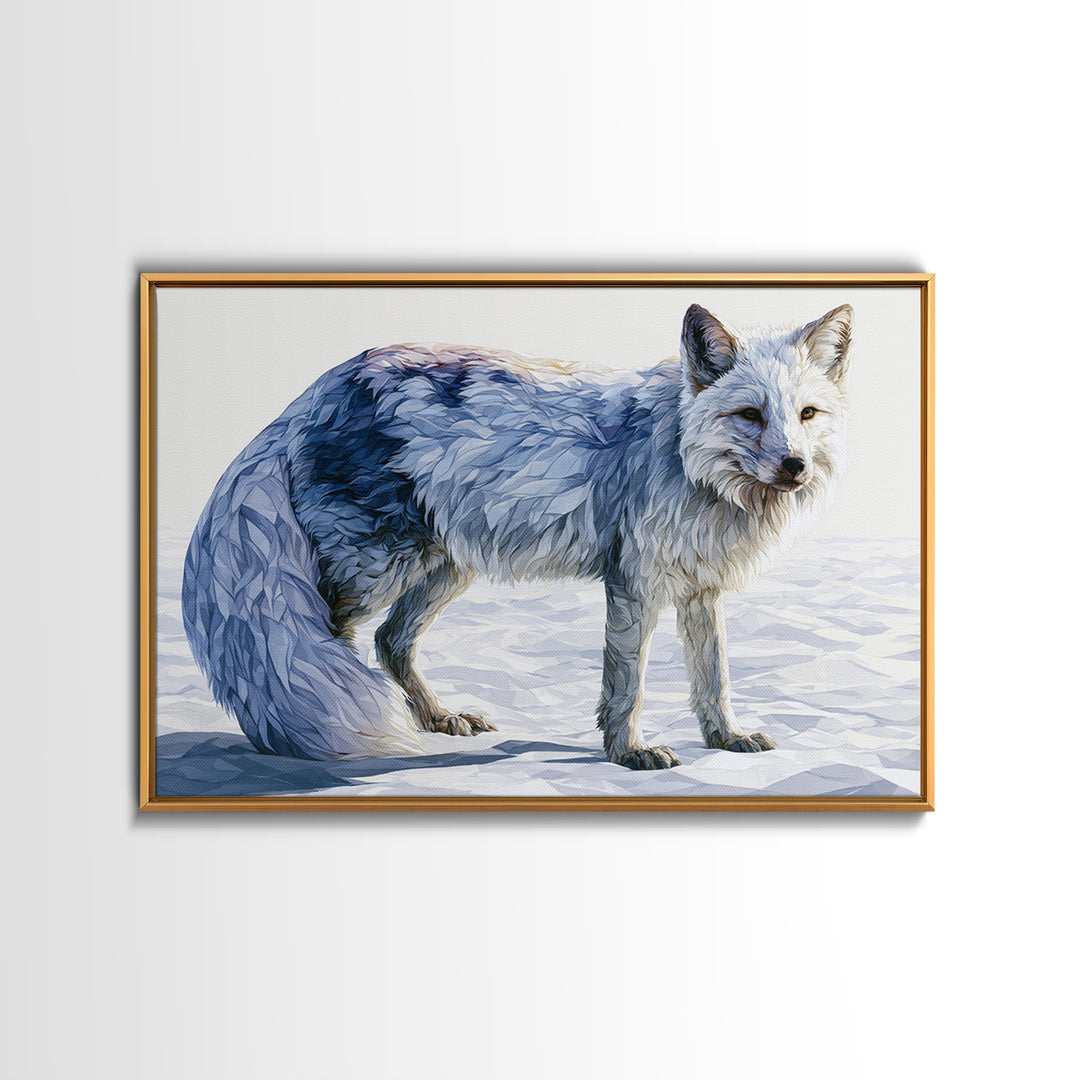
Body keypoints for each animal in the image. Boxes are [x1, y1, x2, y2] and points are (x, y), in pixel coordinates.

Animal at [182, 302, 852, 770]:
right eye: (750, 415)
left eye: (806, 415)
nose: (794, 466)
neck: (687, 461)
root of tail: (317, 390)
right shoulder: (632, 584)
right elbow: (627, 686)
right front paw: (627, 753)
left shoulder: (700, 589)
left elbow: (713, 677)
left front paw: (725, 737)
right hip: (374, 567)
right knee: (327, 641)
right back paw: (322, 731)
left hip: (444, 569)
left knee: (390, 642)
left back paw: (434, 718)